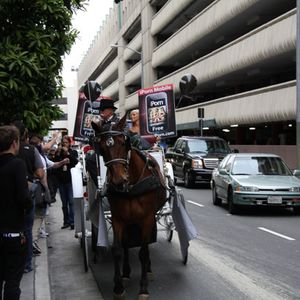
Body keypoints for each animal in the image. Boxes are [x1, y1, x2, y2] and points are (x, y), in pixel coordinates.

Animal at [92, 115, 166, 300]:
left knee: (146, 246)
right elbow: (118, 249)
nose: (119, 181)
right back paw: (125, 273)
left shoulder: (147, 219)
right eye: (101, 148)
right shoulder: (118, 219)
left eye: (123, 142)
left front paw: (143, 288)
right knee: (126, 245)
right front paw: (118, 287)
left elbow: (143, 252)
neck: (131, 186)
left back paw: (148, 269)